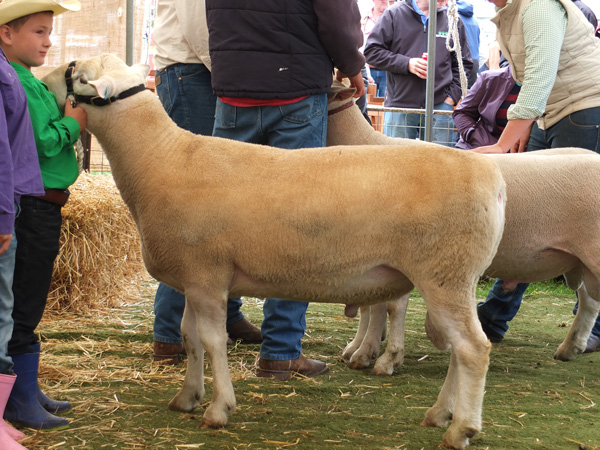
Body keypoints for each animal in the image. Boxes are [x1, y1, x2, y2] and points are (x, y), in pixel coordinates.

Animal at [328, 81, 600, 376]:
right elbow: (372, 306)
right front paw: (363, 349)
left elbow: (387, 307)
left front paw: (382, 357)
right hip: (577, 260)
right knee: (589, 301)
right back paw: (570, 348)